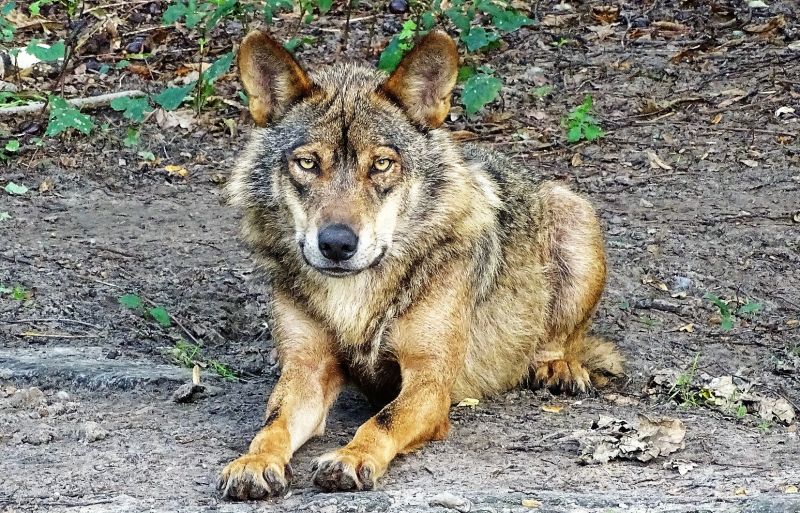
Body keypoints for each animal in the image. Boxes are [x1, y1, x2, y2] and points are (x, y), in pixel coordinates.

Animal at [220, 29, 624, 500]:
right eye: (307, 163)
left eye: (381, 164)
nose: (337, 243)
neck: (355, 296)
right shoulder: (306, 370)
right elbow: (273, 425)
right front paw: (254, 462)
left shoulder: (429, 380)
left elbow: (382, 421)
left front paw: (350, 458)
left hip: (574, 213)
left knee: (559, 340)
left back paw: (556, 367)